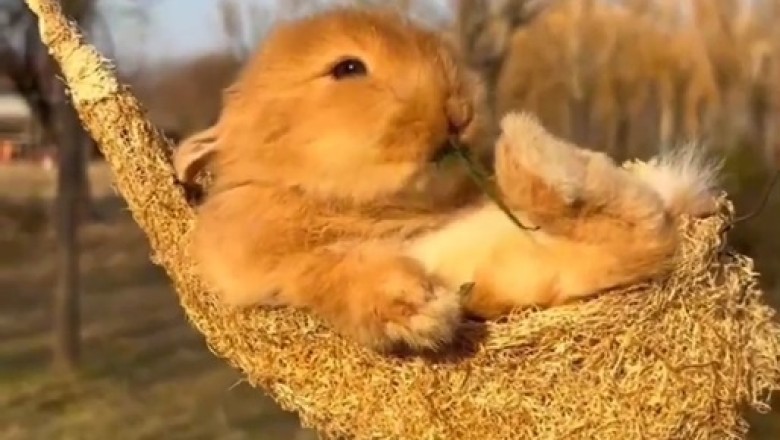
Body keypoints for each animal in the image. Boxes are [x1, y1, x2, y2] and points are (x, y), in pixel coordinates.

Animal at [173, 6, 721, 353]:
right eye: (347, 67)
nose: (460, 111)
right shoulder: (291, 270)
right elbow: (338, 275)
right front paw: (422, 312)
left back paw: (528, 147)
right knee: (635, 230)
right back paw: (529, 150)